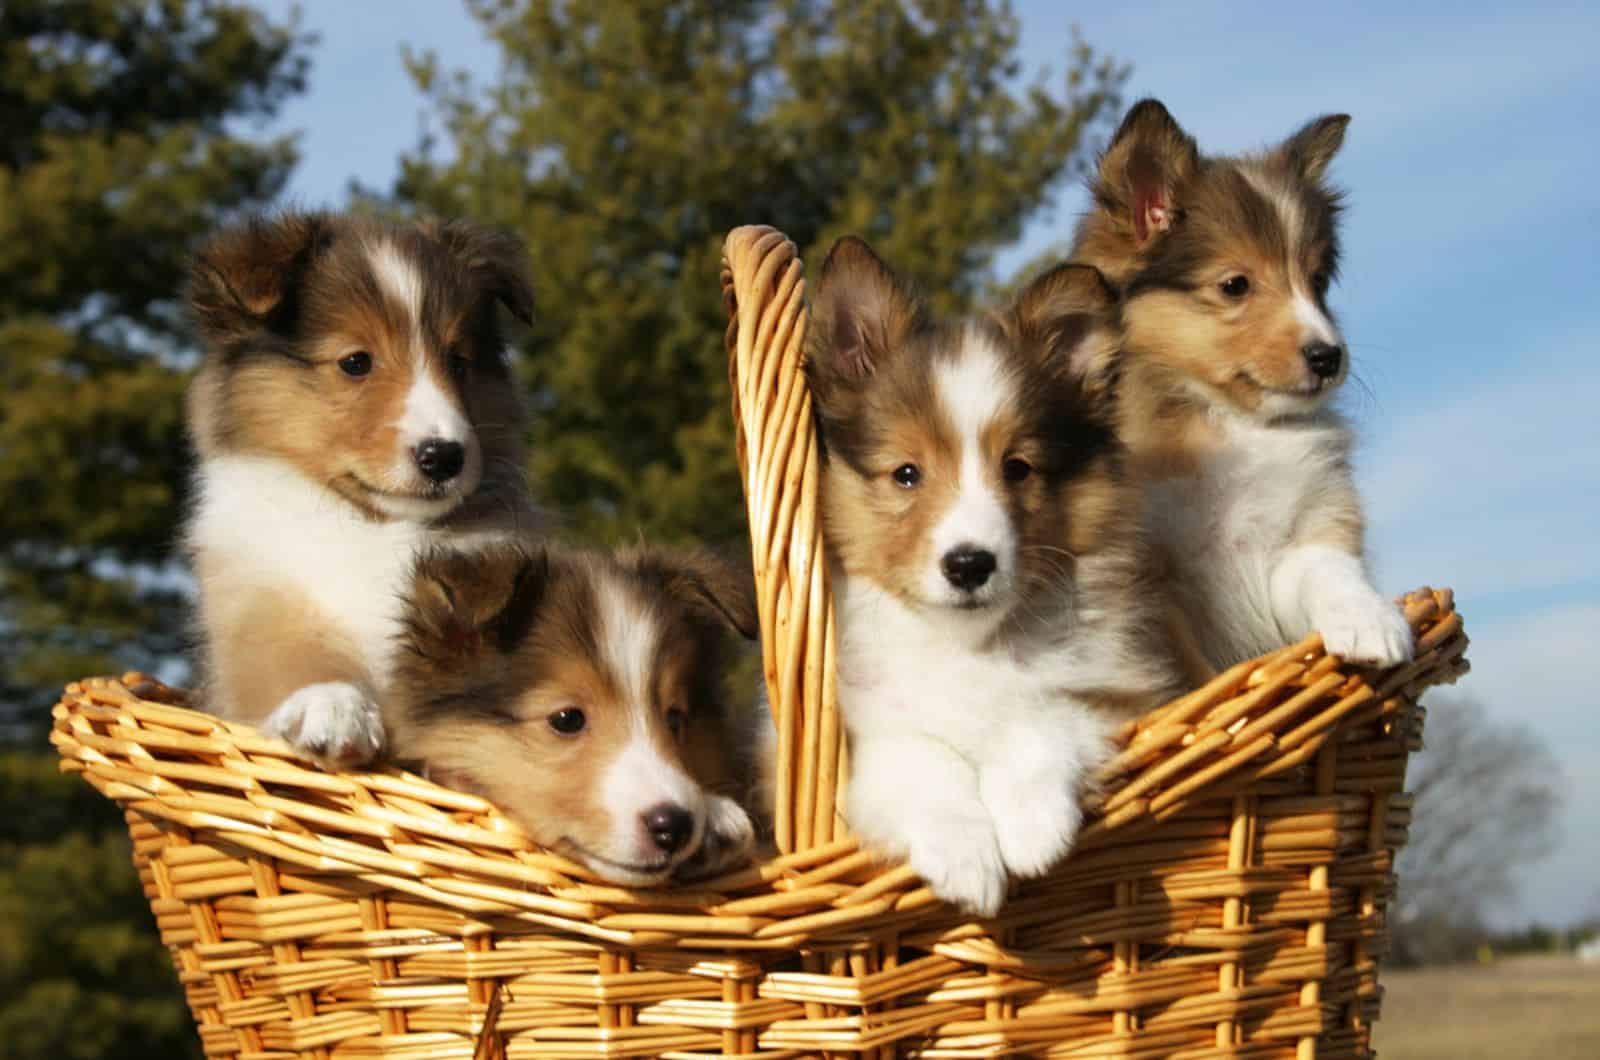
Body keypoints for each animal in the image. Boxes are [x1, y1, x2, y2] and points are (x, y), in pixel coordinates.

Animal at [183, 211, 537, 768]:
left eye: (458, 363)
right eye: (355, 362)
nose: (444, 456)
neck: (374, 525)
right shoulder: (256, 596)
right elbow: (288, 654)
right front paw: (331, 709)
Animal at [806, 236, 1184, 915]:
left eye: (1018, 467)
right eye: (906, 473)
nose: (969, 564)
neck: (968, 646)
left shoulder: (1119, 697)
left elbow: (1040, 715)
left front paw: (1032, 829)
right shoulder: (861, 747)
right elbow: (922, 755)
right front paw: (968, 858)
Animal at [1075, 101, 1414, 682]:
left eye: (1317, 282)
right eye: (1235, 285)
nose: (1329, 357)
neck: (1228, 419)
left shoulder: (1304, 529)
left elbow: (1329, 567)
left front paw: (1372, 622)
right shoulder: (1154, 591)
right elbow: (1193, 674)